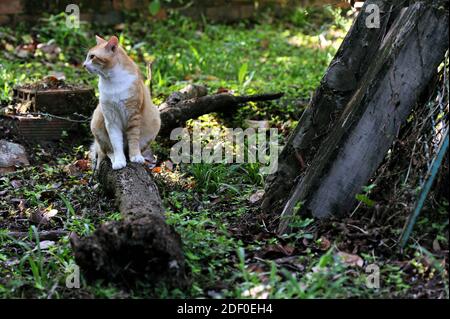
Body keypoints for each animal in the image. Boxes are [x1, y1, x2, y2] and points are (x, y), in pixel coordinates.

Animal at [83, 35, 161, 171]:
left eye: (92, 57)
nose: (83, 65)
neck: (112, 81)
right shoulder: (111, 120)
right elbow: (116, 144)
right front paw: (119, 160)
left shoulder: (133, 115)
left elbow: (133, 139)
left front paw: (135, 156)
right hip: (97, 123)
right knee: (107, 151)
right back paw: (114, 158)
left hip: (155, 121)